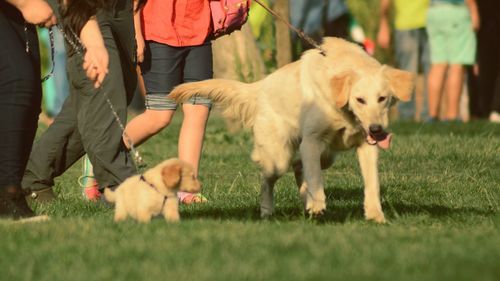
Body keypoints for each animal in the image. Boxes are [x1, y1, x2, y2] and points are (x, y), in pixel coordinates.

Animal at [170, 37, 412, 222]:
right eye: (359, 100)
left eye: (382, 98)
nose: (377, 129)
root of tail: (260, 86)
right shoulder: (312, 141)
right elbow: (315, 177)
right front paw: (317, 205)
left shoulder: (365, 146)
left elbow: (372, 183)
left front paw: (375, 215)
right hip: (279, 158)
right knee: (268, 178)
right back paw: (268, 210)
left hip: (326, 155)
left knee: (299, 167)